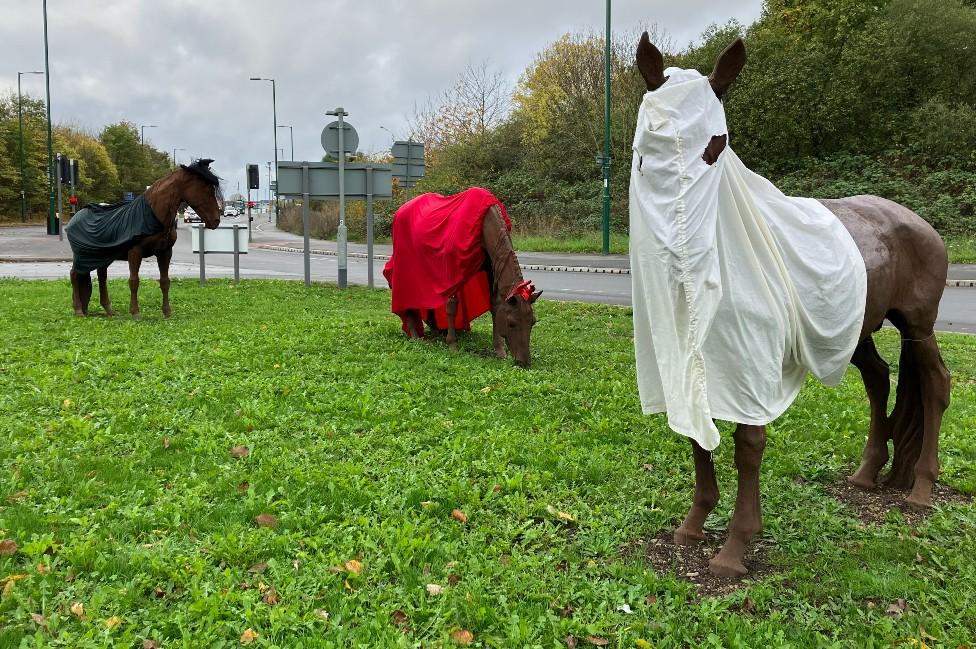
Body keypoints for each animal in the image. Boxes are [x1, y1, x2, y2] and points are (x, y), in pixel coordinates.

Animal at [66, 158, 222, 318]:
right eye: (207, 189)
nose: (216, 220)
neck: (153, 216)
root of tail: (75, 217)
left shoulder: (165, 252)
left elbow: (165, 281)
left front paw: (167, 312)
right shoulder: (135, 252)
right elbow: (134, 281)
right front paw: (135, 312)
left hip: (102, 257)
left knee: (101, 275)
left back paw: (109, 310)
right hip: (82, 256)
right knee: (74, 275)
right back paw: (79, 310)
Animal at [382, 190, 536, 368]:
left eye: (533, 322)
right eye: (512, 323)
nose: (524, 362)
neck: (483, 225)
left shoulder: (490, 268)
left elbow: (495, 305)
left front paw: (499, 350)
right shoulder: (451, 275)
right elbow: (451, 306)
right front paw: (452, 344)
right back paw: (415, 334)